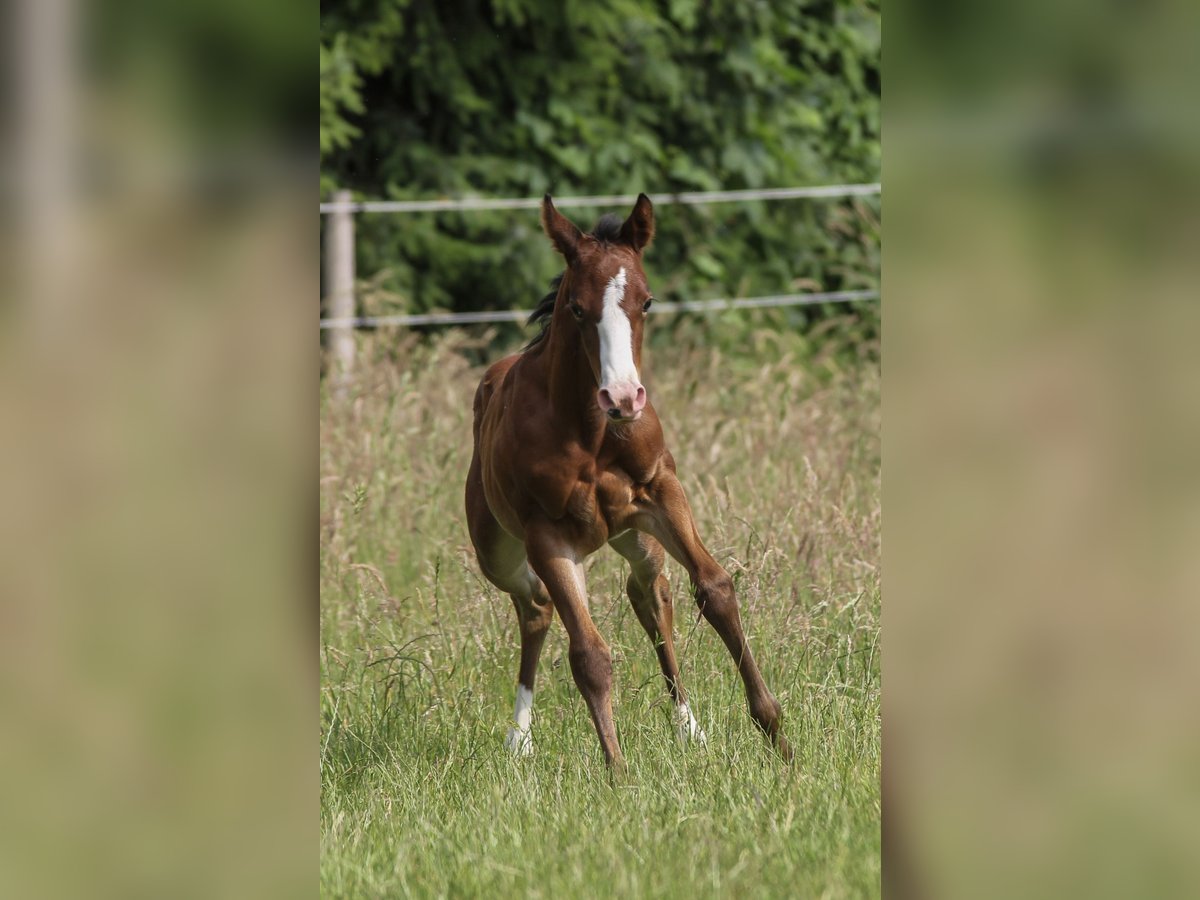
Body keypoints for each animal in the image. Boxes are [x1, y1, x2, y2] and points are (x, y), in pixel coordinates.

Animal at [465, 193, 791, 769]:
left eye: (647, 302)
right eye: (576, 308)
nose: (623, 397)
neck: (592, 431)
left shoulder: (662, 493)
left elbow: (715, 589)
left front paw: (777, 735)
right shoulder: (547, 536)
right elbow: (590, 655)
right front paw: (618, 772)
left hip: (634, 534)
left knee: (649, 595)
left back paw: (689, 728)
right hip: (497, 550)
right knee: (535, 606)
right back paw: (519, 738)